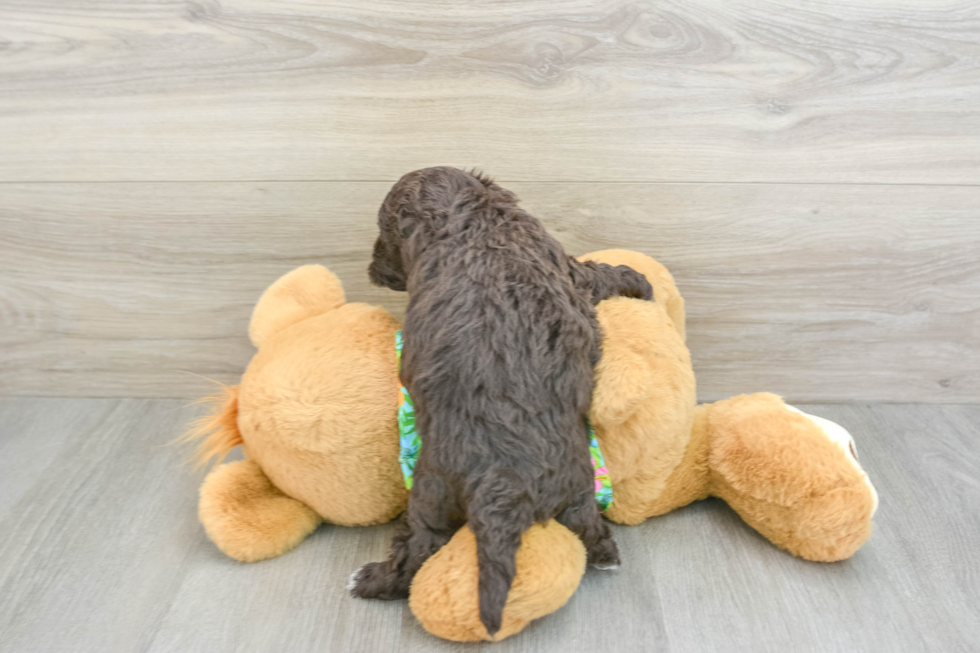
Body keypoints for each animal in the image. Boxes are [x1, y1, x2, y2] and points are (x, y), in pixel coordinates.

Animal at [350, 166, 652, 636]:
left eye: (385, 233)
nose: (373, 269)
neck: (470, 214)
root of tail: (503, 480)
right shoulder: (568, 269)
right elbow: (598, 271)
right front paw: (639, 281)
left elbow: (598, 271)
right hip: (573, 482)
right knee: (586, 525)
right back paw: (605, 555)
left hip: (431, 492)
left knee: (417, 550)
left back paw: (370, 579)